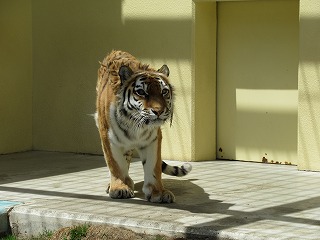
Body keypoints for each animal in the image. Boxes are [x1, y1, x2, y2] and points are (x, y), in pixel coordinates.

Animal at [95, 50, 192, 202]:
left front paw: (158, 192)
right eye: (141, 92)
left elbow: (153, 166)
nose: (159, 111)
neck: (134, 125)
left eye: (164, 92)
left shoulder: (153, 139)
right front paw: (120, 188)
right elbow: (115, 164)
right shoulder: (108, 137)